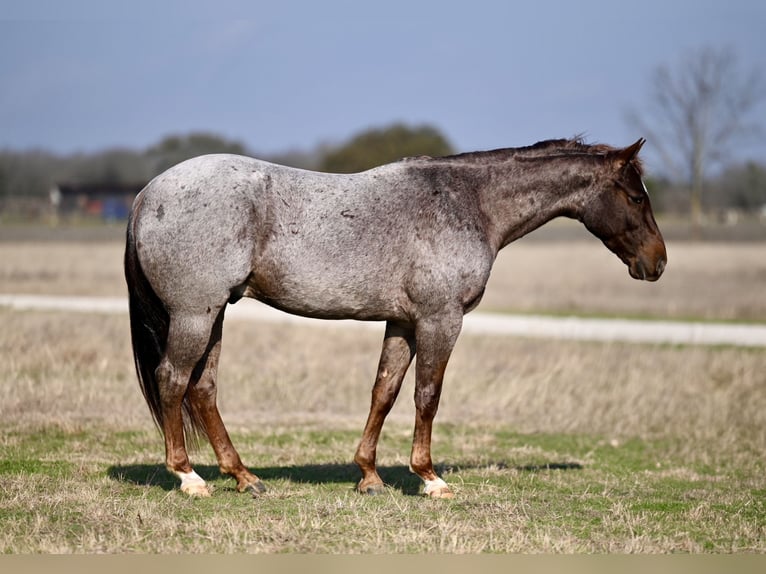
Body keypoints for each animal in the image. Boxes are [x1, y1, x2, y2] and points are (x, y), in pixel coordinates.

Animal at [124, 136, 664, 500]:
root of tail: (147, 193)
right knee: (172, 380)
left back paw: (244, 476)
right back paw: (190, 477)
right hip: (195, 315)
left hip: (214, 316)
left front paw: (369, 475)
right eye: (636, 197)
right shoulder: (441, 320)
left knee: (202, 389)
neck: (468, 201)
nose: (657, 263)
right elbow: (428, 395)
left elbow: (384, 392)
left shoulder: (403, 323)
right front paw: (429, 478)